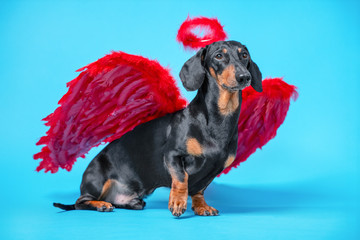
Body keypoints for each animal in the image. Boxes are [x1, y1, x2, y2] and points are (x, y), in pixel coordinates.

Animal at [53, 41, 262, 218]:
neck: (219, 119)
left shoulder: (214, 170)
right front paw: (177, 202)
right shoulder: (172, 155)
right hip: (96, 180)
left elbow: (198, 190)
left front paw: (201, 206)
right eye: (219, 56)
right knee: (80, 202)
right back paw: (100, 205)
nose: (244, 77)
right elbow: (181, 179)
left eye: (244, 55)